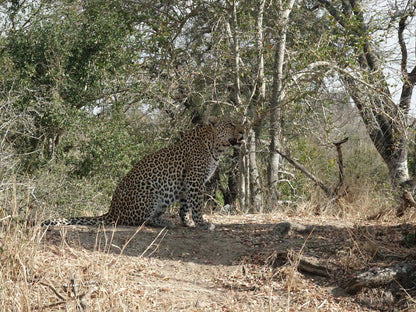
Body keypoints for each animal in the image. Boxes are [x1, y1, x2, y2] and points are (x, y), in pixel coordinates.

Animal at [42, 116, 244, 230]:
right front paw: (202, 223)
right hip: (151, 193)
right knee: (140, 220)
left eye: (239, 124)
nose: (243, 132)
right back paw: (165, 223)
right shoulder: (195, 179)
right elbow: (196, 205)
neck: (216, 146)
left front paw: (188, 222)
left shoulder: (188, 183)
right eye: (230, 124)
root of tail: (111, 210)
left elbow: (185, 206)